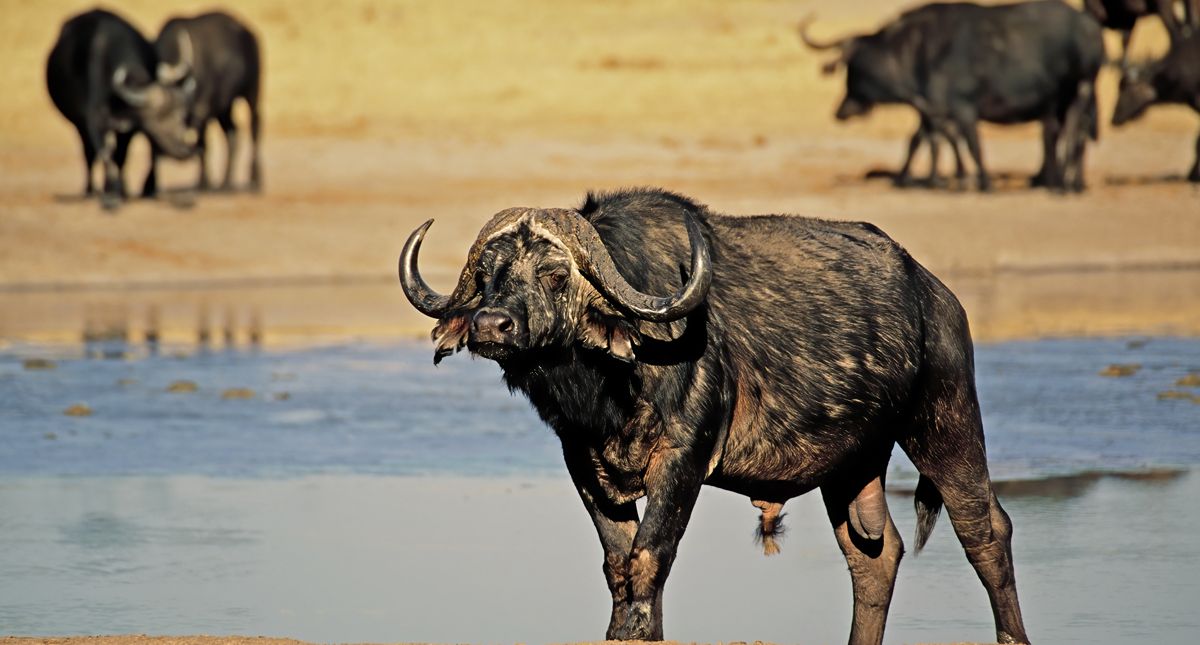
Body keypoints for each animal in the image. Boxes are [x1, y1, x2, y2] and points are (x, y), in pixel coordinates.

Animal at [46, 7, 196, 208]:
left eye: (182, 114)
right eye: (157, 119)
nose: (185, 150)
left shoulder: (130, 127)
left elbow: (120, 156)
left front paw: (121, 190)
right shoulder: (95, 121)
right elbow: (105, 155)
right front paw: (111, 194)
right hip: (79, 126)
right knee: (89, 154)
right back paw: (90, 190)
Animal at [153, 10, 261, 190]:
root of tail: (249, 33)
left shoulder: (201, 111)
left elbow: (202, 145)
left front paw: (203, 182)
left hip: (252, 92)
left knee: (255, 126)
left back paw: (255, 179)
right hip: (224, 108)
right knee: (232, 133)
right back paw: (226, 182)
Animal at [396, 187, 1032, 642]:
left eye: (555, 275)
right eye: (488, 277)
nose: (490, 326)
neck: (617, 377)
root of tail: (935, 295)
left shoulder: (684, 458)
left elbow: (649, 558)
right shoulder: (583, 461)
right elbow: (618, 564)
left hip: (945, 421)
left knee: (984, 529)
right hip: (848, 464)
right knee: (873, 556)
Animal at [806, 0, 1104, 190]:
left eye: (853, 68)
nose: (840, 111)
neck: (915, 52)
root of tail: (1090, 27)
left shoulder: (960, 107)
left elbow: (969, 144)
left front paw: (980, 182)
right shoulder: (932, 107)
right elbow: (924, 140)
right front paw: (923, 179)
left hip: (1081, 90)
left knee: (1073, 132)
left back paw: (1064, 184)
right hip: (1066, 98)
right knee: (1065, 133)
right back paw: (1064, 181)